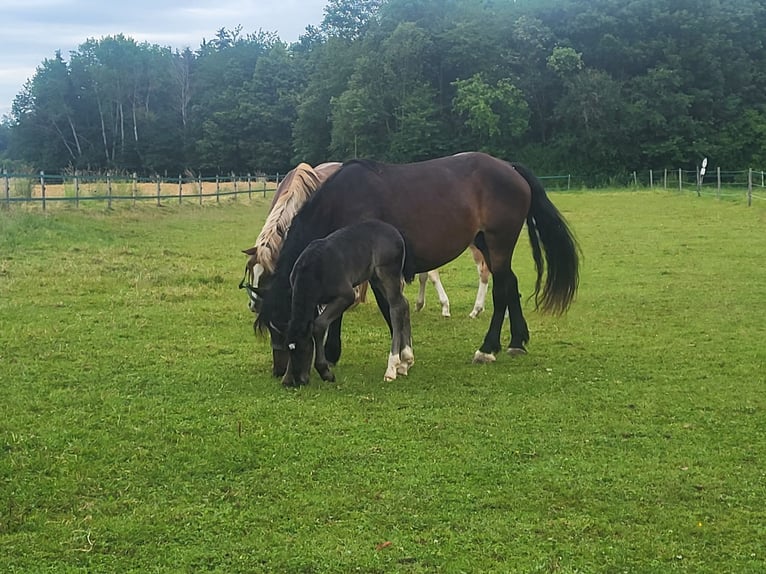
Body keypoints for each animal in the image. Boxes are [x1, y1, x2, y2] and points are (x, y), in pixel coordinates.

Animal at [284, 220, 414, 388]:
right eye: (290, 350)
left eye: (304, 349)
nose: (299, 381)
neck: (312, 271)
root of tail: (395, 232)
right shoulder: (315, 302)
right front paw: (287, 377)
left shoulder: (346, 296)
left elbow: (319, 325)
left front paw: (325, 372)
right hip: (375, 278)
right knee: (404, 304)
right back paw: (406, 361)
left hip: (388, 274)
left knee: (396, 308)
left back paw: (391, 368)